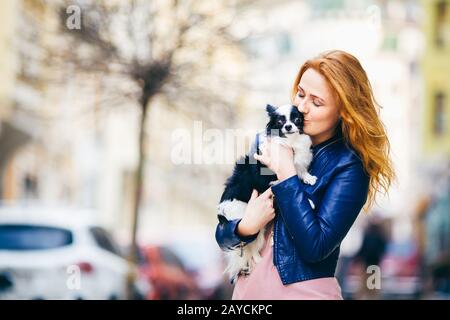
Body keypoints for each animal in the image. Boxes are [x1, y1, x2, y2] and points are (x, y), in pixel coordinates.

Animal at [217, 103, 316, 282]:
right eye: (280, 121)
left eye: (296, 119)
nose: (288, 126)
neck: (290, 143)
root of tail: (222, 214)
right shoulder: (270, 182)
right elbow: (283, 191)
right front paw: (309, 202)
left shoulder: (295, 166)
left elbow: (299, 172)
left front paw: (309, 178)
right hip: (252, 226)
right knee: (251, 250)